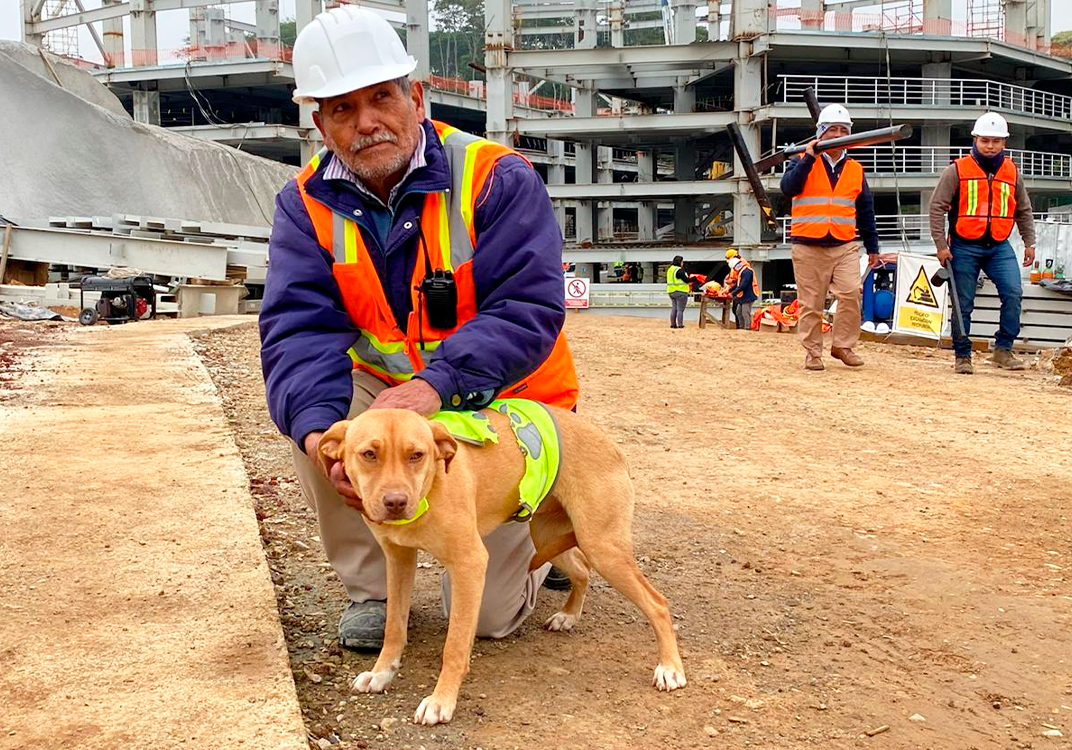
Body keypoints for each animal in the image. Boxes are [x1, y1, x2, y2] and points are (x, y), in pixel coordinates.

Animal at [317, 407, 686, 724]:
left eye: (416, 455)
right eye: (369, 454)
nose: (395, 502)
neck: (431, 487)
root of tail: (612, 444)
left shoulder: (470, 565)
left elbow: (454, 646)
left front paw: (441, 701)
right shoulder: (398, 559)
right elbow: (394, 627)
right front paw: (381, 673)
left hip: (602, 546)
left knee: (657, 603)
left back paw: (670, 668)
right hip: (550, 535)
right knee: (581, 569)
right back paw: (569, 615)